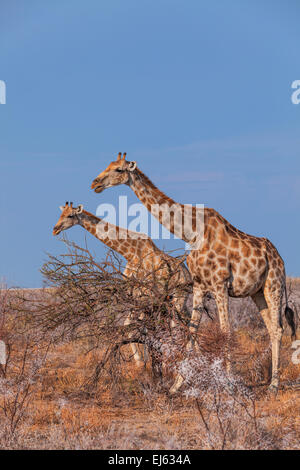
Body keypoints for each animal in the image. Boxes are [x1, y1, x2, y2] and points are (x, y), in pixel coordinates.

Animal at [52, 202, 191, 368]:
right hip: (171, 298)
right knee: (185, 320)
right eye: (60, 214)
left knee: (181, 323)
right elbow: (134, 326)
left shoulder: (145, 296)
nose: (55, 229)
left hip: (179, 295)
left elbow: (137, 327)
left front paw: (141, 361)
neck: (130, 253)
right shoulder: (135, 296)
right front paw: (143, 361)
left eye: (70, 215)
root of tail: (187, 272)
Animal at [90, 152, 296, 392]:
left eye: (119, 170)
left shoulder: (220, 285)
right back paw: (271, 380)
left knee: (279, 328)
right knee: (272, 328)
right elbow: (191, 331)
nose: (95, 183)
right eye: (108, 165)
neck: (191, 232)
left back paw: (274, 384)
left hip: (274, 285)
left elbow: (226, 331)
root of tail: (279, 257)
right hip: (257, 292)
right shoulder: (199, 286)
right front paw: (176, 385)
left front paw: (228, 382)